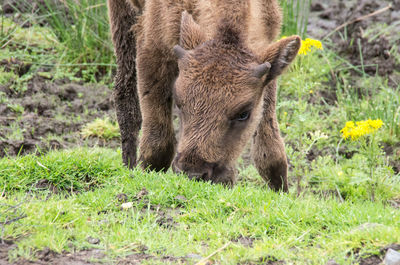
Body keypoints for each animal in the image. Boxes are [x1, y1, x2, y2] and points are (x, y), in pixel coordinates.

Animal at [106, 0, 300, 190]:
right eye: (179, 104)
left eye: (244, 114)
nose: (194, 173)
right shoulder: (153, 48)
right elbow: (158, 143)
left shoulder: (268, 61)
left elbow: (271, 146)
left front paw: (281, 190)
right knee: (125, 94)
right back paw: (128, 166)